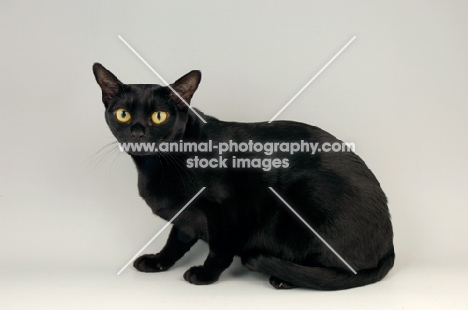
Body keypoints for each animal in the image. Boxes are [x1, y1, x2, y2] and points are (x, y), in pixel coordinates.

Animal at [92, 63, 394, 290]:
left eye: (159, 116)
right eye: (122, 114)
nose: (137, 132)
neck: (158, 165)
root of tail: (389, 245)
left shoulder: (229, 209)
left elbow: (220, 248)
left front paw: (205, 274)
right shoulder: (186, 214)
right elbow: (176, 240)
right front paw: (158, 261)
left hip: (305, 197)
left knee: (340, 271)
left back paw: (285, 278)